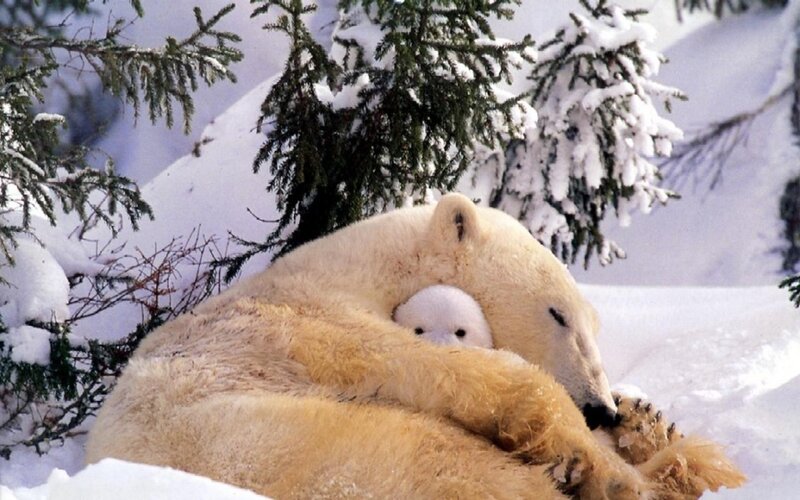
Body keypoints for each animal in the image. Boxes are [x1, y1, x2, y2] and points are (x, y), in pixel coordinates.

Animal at [86, 193, 744, 499]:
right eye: (559, 314)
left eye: (595, 325)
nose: (599, 407)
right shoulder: (307, 325)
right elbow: (464, 373)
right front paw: (595, 457)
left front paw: (641, 418)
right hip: (331, 453)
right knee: (461, 465)